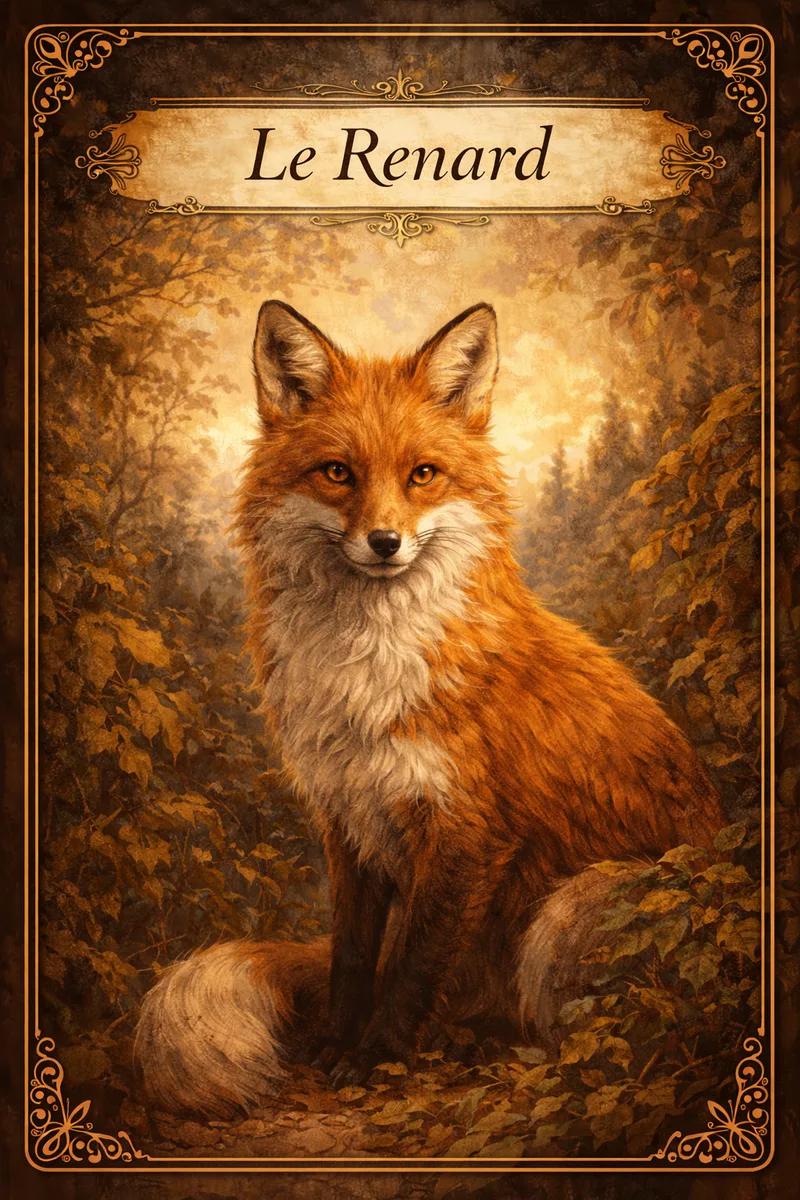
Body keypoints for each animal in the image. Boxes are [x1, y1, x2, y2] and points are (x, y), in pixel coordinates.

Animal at [134, 300, 724, 1118]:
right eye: (338, 472)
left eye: (422, 474)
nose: (385, 542)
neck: (368, 679)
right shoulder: (348, 820)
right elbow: (355, 959)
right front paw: (335, 1044)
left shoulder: (465, 832)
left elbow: (411, 966)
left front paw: (376, 1058)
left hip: (575, 907)